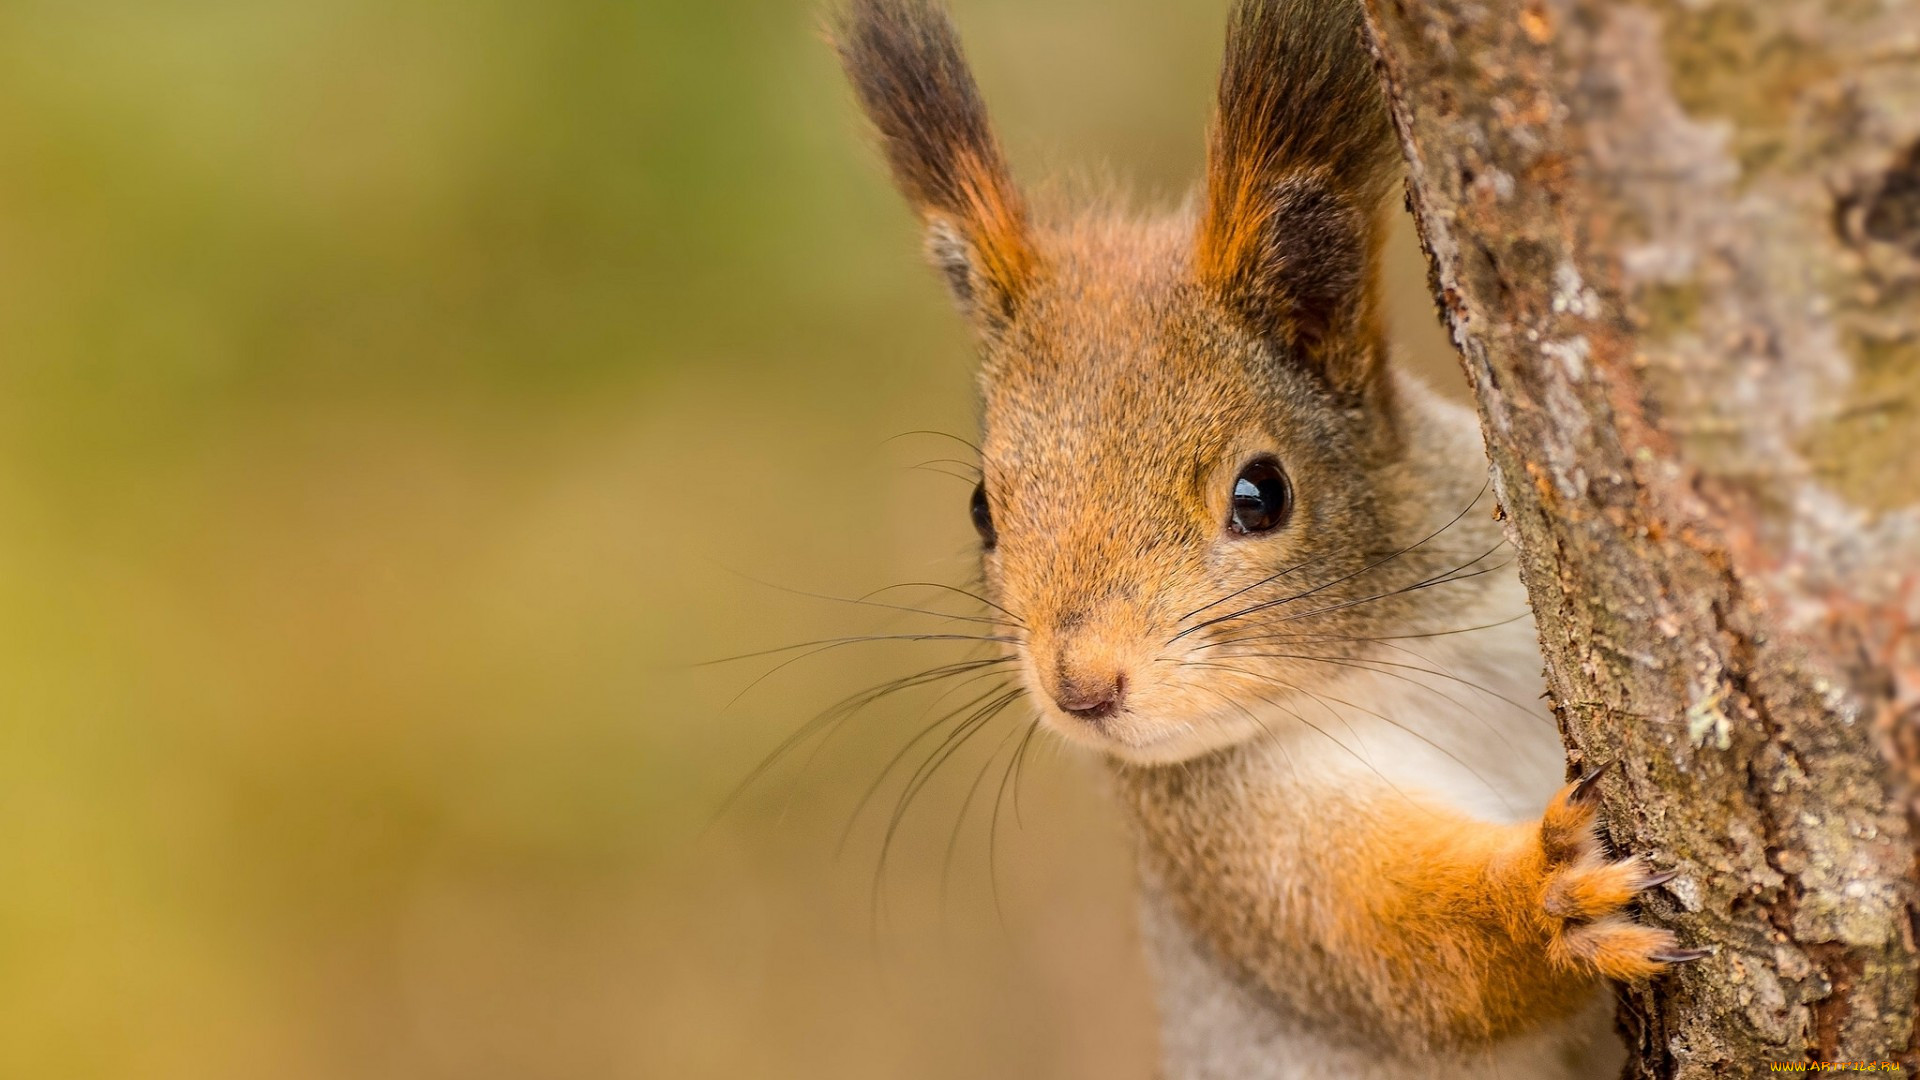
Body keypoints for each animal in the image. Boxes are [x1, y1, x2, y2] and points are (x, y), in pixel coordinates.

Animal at [833, 2, 1704, 1068]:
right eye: (981, 510)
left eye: (1262, 494)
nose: (1081, 688)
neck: (1380, 659)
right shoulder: (1233, 852)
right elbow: (1401, 954)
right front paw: (1549, 903)